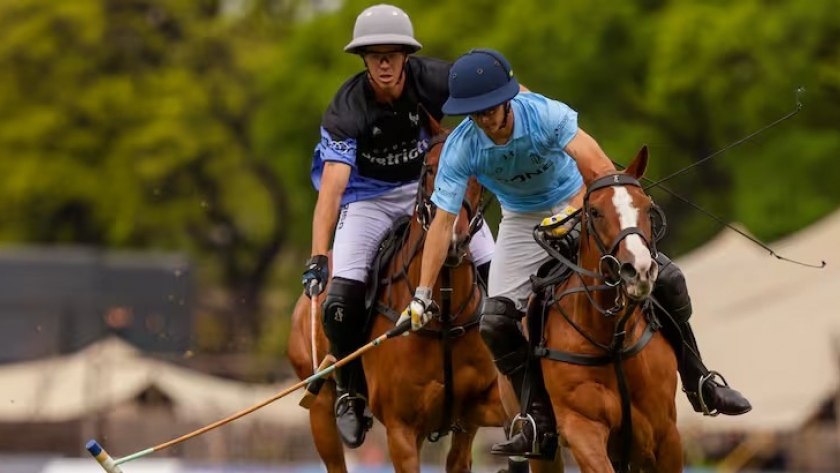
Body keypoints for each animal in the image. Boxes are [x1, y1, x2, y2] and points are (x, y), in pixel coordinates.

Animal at [286, 122, 516, 472]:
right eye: (431, 168)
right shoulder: (401, 431)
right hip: (319, 410)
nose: (453, 238)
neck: (443, 315)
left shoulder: (479, 408)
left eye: (477, 174)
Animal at [512, 147, 684, 472]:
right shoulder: (581, 427)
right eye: (594, 212)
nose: (639, 271)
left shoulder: (665, 434)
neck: (612, 339)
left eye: (647, 206)